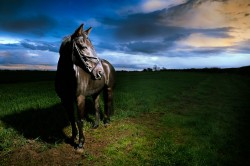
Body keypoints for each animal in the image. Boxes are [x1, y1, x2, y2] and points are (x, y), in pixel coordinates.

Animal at [54, 24, 115, 152]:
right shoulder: (65, 100)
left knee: (107, 103)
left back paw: (106, 122)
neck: (67, 76)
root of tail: (107, 64)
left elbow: (80, 120)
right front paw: (73, 137)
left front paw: (81, 144)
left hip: (109, 89)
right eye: (82, 46)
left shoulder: (80, 98)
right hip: (96, 92)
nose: (100, 72)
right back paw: (96, 125)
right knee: (97, 106)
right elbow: (72, 119)